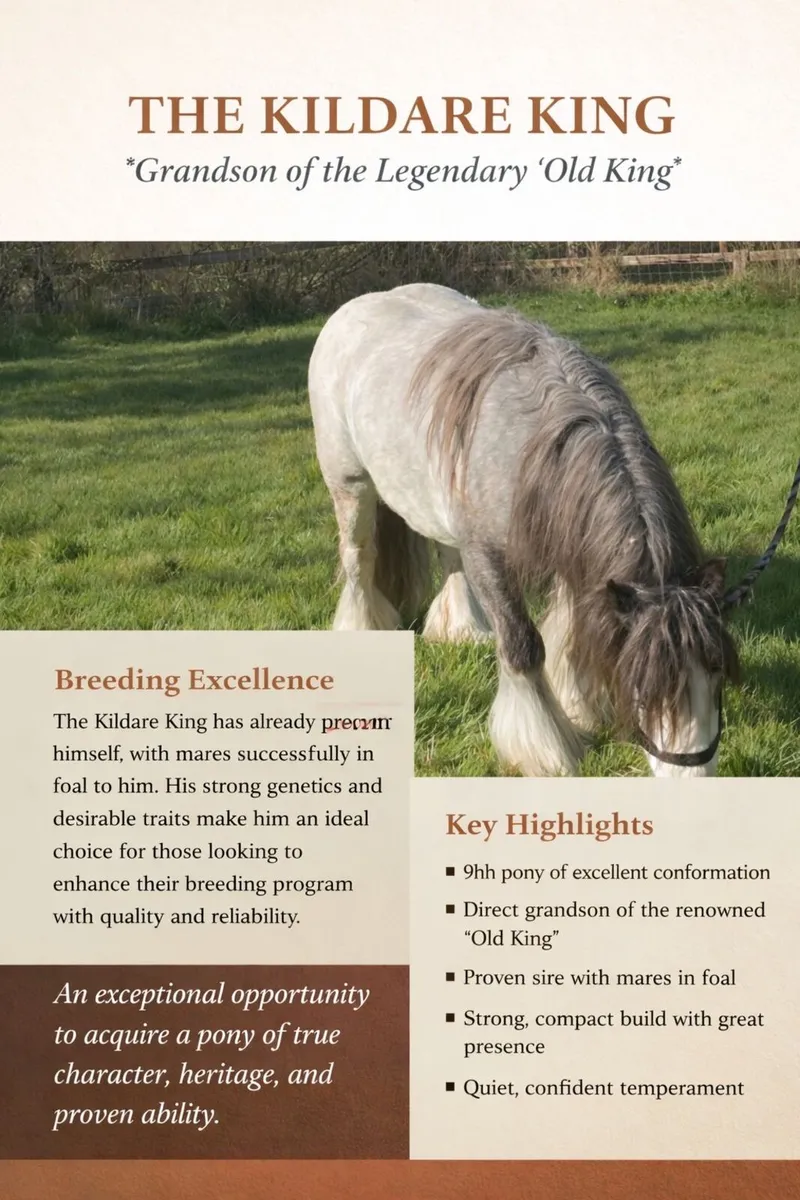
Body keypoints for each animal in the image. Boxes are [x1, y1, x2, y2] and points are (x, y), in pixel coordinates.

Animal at [308, 282, 743, 778]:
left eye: (717, 672)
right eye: (643, 684)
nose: (691, 775)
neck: (535, 445)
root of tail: (356, 306)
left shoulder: (570, 549)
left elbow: (569, 635)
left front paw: (577, 706)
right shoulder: (491, 560)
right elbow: (524, 647)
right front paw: (545, 748)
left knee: (448, 559)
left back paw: (461, 628)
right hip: (351, 487)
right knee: (359, 560)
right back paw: (364, 627)